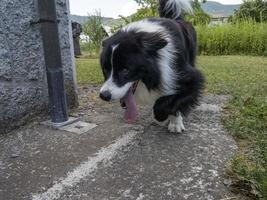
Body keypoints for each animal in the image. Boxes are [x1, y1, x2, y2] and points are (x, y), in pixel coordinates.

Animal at [100, 0, 205, 133]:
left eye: (125, 70)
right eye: (105, 69)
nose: (104, 95)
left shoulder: (186, 74)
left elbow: (178, 94)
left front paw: (165, 117)